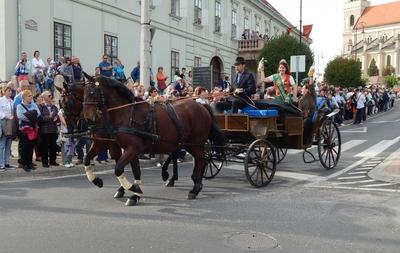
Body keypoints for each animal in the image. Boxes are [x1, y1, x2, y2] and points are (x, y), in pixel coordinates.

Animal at [82, 74, 225, 206]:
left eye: (92, 93)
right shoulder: (122, 147)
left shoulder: (132, 148)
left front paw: (134, 189)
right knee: (197, 159)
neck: (126, 113)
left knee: (201, 160)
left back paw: (195, 188)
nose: (88, 119)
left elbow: (118, 169)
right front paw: (133, 193)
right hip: (186, 143)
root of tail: (202, 106)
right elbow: (133, 170)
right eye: (83, 93)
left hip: (196, 143)